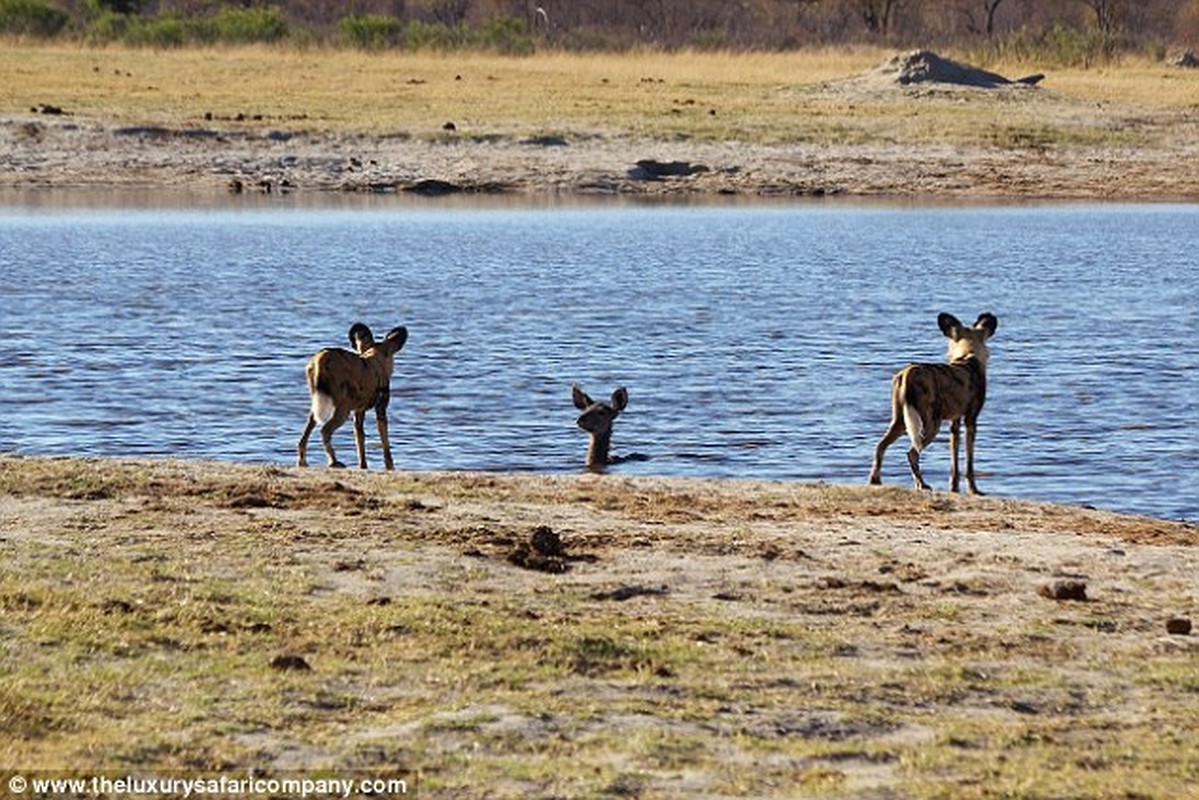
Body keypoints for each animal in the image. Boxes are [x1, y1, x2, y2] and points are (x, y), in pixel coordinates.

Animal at [298, 321, 407, 470]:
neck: (375, 357)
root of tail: (322, 358)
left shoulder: (358, 412)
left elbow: (360, 441)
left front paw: (363, 466)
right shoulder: (381, 410)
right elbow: (385, 442)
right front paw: (389, 466)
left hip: (318, 405)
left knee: (305, 435)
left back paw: (302, 462)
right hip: (342, 411)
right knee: (325, 431)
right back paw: (333, 462)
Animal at [868, 311, 997, 494]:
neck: (968, 355)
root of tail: (909, 371)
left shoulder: (954, 422)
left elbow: (954, 460)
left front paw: (954, 488)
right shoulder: (971, 420)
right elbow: (969, 462)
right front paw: (974, 490)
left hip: (901, 422)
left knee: (880, 446)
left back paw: (876, 480)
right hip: (930, 426)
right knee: (912, 454)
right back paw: (922, 484)